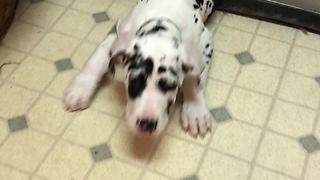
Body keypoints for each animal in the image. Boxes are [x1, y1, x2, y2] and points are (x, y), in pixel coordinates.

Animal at [63, 0, 215, 137]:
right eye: (134, 81)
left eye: (171, 85)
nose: (147, 124)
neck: (163, 15)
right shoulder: (120, 31)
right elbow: (99, 56)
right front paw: (80, 88)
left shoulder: (204, 42)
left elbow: (195, 78)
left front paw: (195, 110)